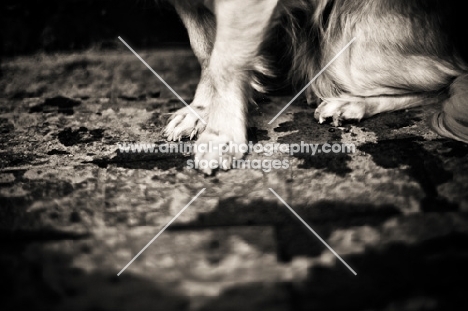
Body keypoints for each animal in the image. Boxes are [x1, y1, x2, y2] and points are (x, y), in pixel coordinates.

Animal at [162, 0, 468, 174]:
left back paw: (351, 103)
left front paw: (221, 136)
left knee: (448, 81)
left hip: (348, 53)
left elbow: (224, 64)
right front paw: (200, 112)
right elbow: (205, 52)